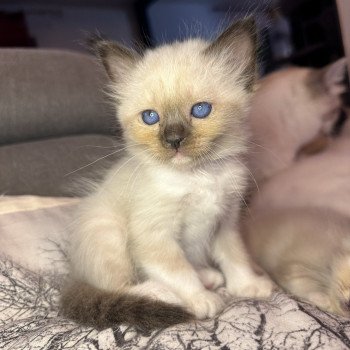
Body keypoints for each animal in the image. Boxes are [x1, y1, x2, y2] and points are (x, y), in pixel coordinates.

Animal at [60, 19, 274, 334]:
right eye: (150, 117)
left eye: (201, 110)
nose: (173, 140)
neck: (198, 176)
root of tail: (73, 272)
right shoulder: (154, 235)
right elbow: (178, 271)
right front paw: (201, 300)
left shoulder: (226, 221)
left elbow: (235, 256)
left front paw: (248, 286)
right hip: (108, 230)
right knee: (119, 287)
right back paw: (166, 293)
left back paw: (209, 277)